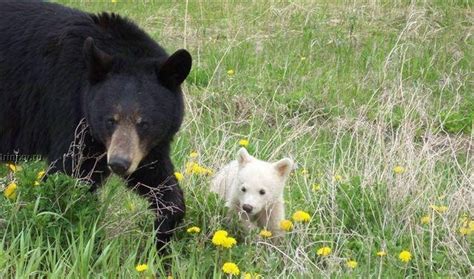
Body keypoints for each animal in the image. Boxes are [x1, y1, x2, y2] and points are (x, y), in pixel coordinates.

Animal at [0, 1, 193, 252]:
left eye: (144, 122)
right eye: (110, 119)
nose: (119, 163)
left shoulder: (145, 147)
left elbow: (155, 176)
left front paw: (161, 240)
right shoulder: (68, 110)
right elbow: (68, 178)